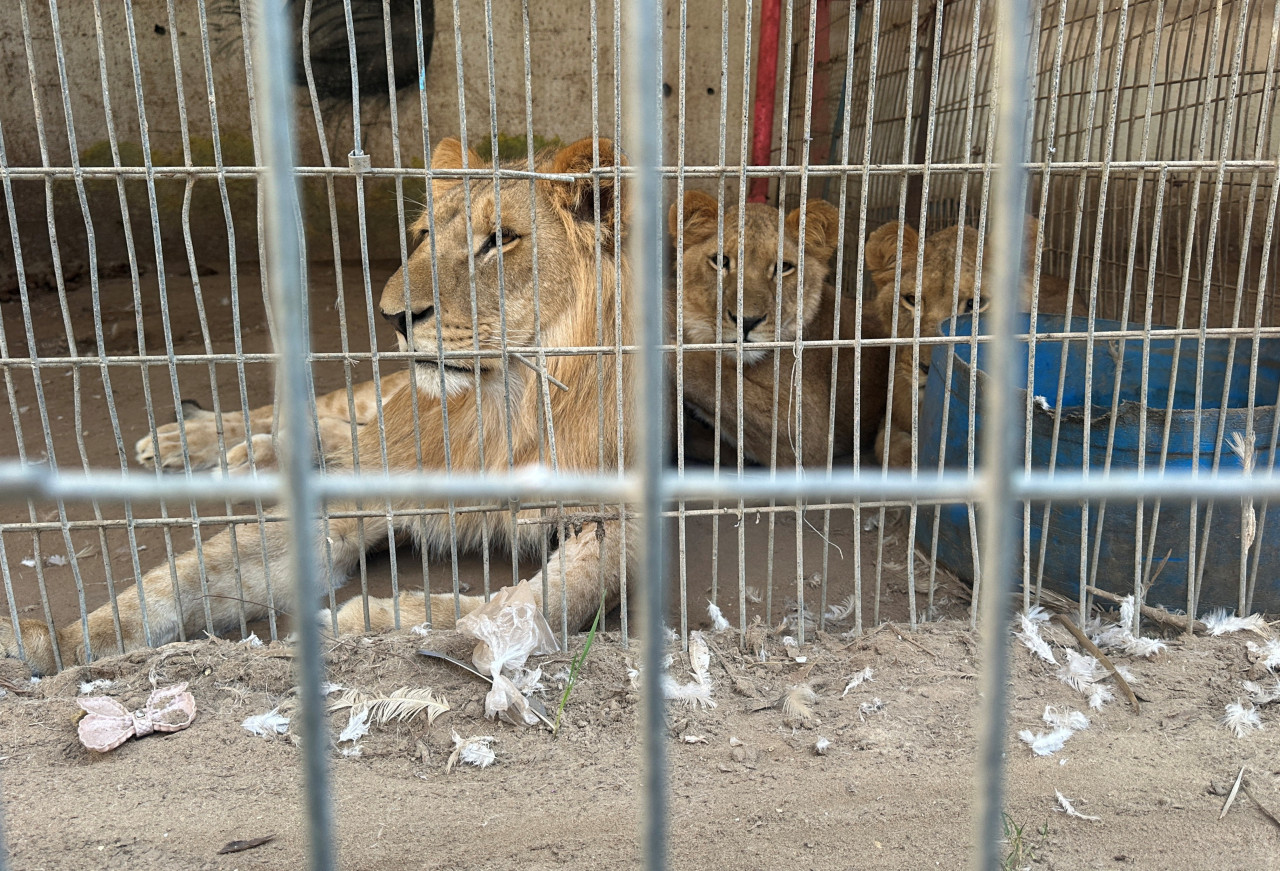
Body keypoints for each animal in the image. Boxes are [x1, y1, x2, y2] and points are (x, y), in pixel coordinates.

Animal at [3, 135, 634, 671]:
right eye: (424, 235)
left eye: (501, 240)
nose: (394, 317)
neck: (507, 405)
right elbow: (181, 576)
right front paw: (54, 645)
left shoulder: (625, 519)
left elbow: (546, 600)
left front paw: (376, 620)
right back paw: (204, 439)